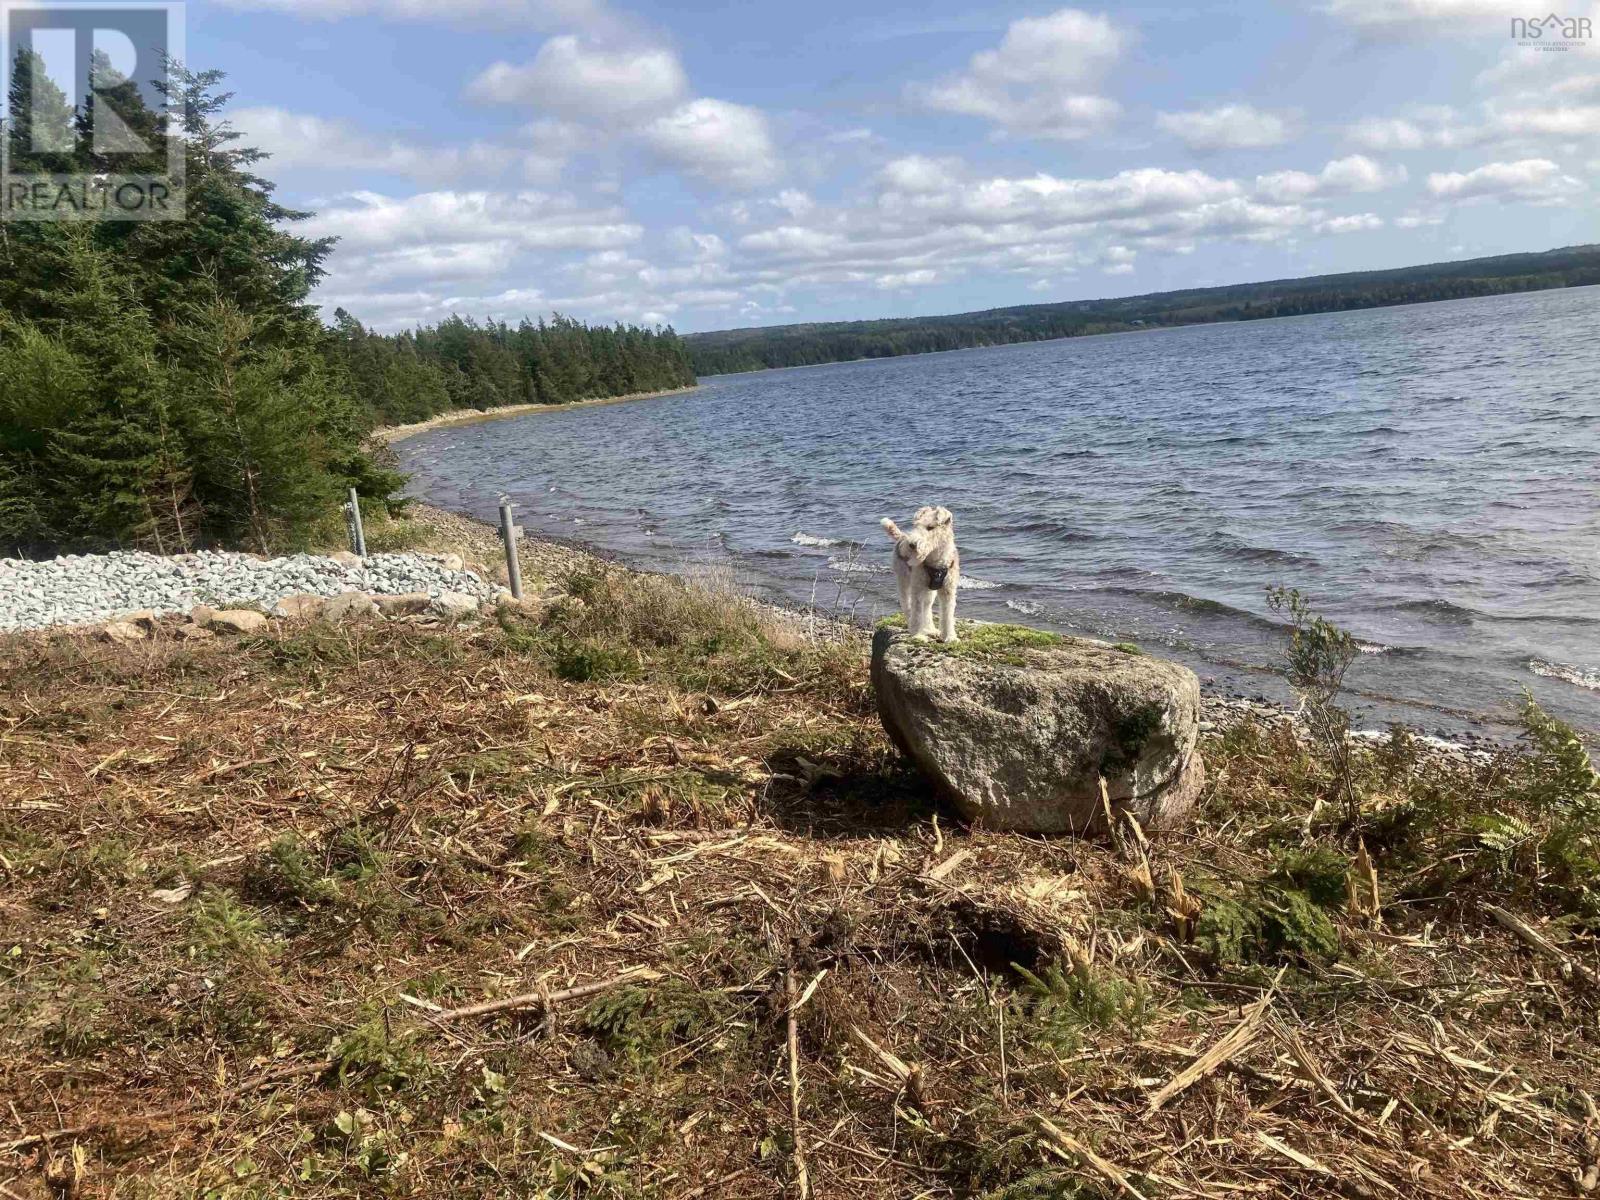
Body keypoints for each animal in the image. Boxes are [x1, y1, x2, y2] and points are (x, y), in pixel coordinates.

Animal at [883, 505, 953, 643]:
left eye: (930, 527)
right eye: (915, 526)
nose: (911, 544)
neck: (936, 562)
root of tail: (902, 536)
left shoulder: (948, 591)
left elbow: (948, 614)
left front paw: (950, 637)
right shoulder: (917, 588)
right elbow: (916, 613)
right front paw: (917, 635)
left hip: (929, 592)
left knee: (926, 608)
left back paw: (930, 630)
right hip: (904, 581)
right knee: (908, 607)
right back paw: (915, 628)